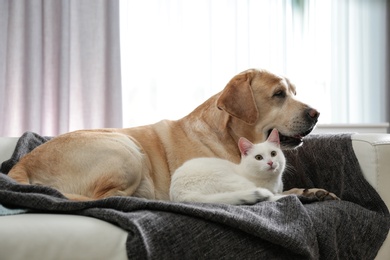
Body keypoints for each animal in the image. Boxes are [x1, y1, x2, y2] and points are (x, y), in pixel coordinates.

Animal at [7, 69, 336, 201]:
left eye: (294, 92)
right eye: (279, 94)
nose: (317, 114)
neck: (228, 140)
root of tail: (22, 162)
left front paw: (310, 192)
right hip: (126, 149)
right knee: (107, 198)